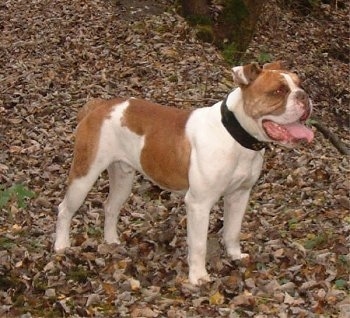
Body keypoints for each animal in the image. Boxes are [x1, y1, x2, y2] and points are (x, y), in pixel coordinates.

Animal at [55, 61, 314, 284]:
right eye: (279, 91)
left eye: (300, 84)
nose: (304, 96)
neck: (235, 135)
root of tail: (100, 105)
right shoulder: (199, 204)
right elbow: (198, 244)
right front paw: (198, 277)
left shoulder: (239, 195)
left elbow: (233, 230)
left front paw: (234, 256)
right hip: (84, 176)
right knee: (65, 209)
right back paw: (61, 245)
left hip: (122, 177)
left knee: (110, 207)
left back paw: (111, 241)